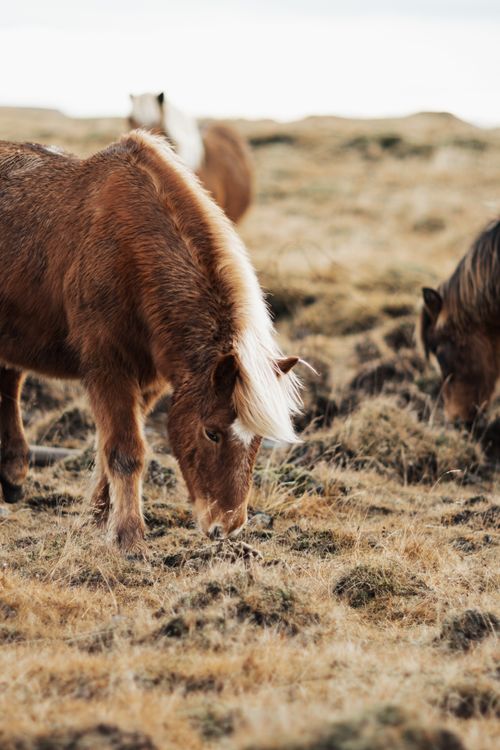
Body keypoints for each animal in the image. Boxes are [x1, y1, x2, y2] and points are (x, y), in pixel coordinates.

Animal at [0, 131, 301, 554]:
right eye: (211, 432)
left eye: (258, 441)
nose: (226, 527)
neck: (129, 251)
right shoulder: (109, 369)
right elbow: (127, 451)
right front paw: (129, 537)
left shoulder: (152, 380)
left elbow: (108, 447)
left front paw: (96, 519)